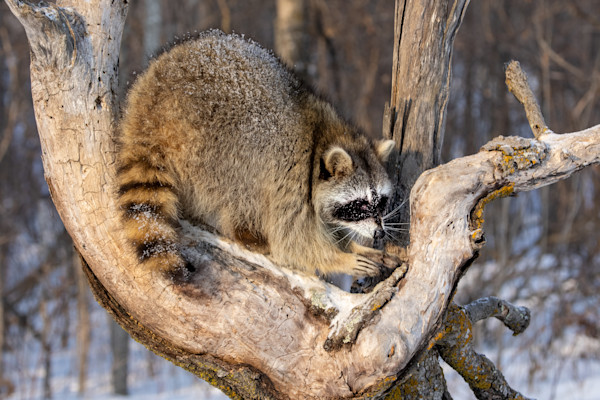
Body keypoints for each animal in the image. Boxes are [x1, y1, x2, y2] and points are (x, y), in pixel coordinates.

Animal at [115, 31, 400, 276]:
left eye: (381, 202)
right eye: (361, 204)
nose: (379, 234)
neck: (324, 136)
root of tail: (150, 112)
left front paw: (351, 245)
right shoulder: (292, 174)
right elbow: (293, 240)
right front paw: (339, 258)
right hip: (210, 142)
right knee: (242, 189)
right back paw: (247, 233)